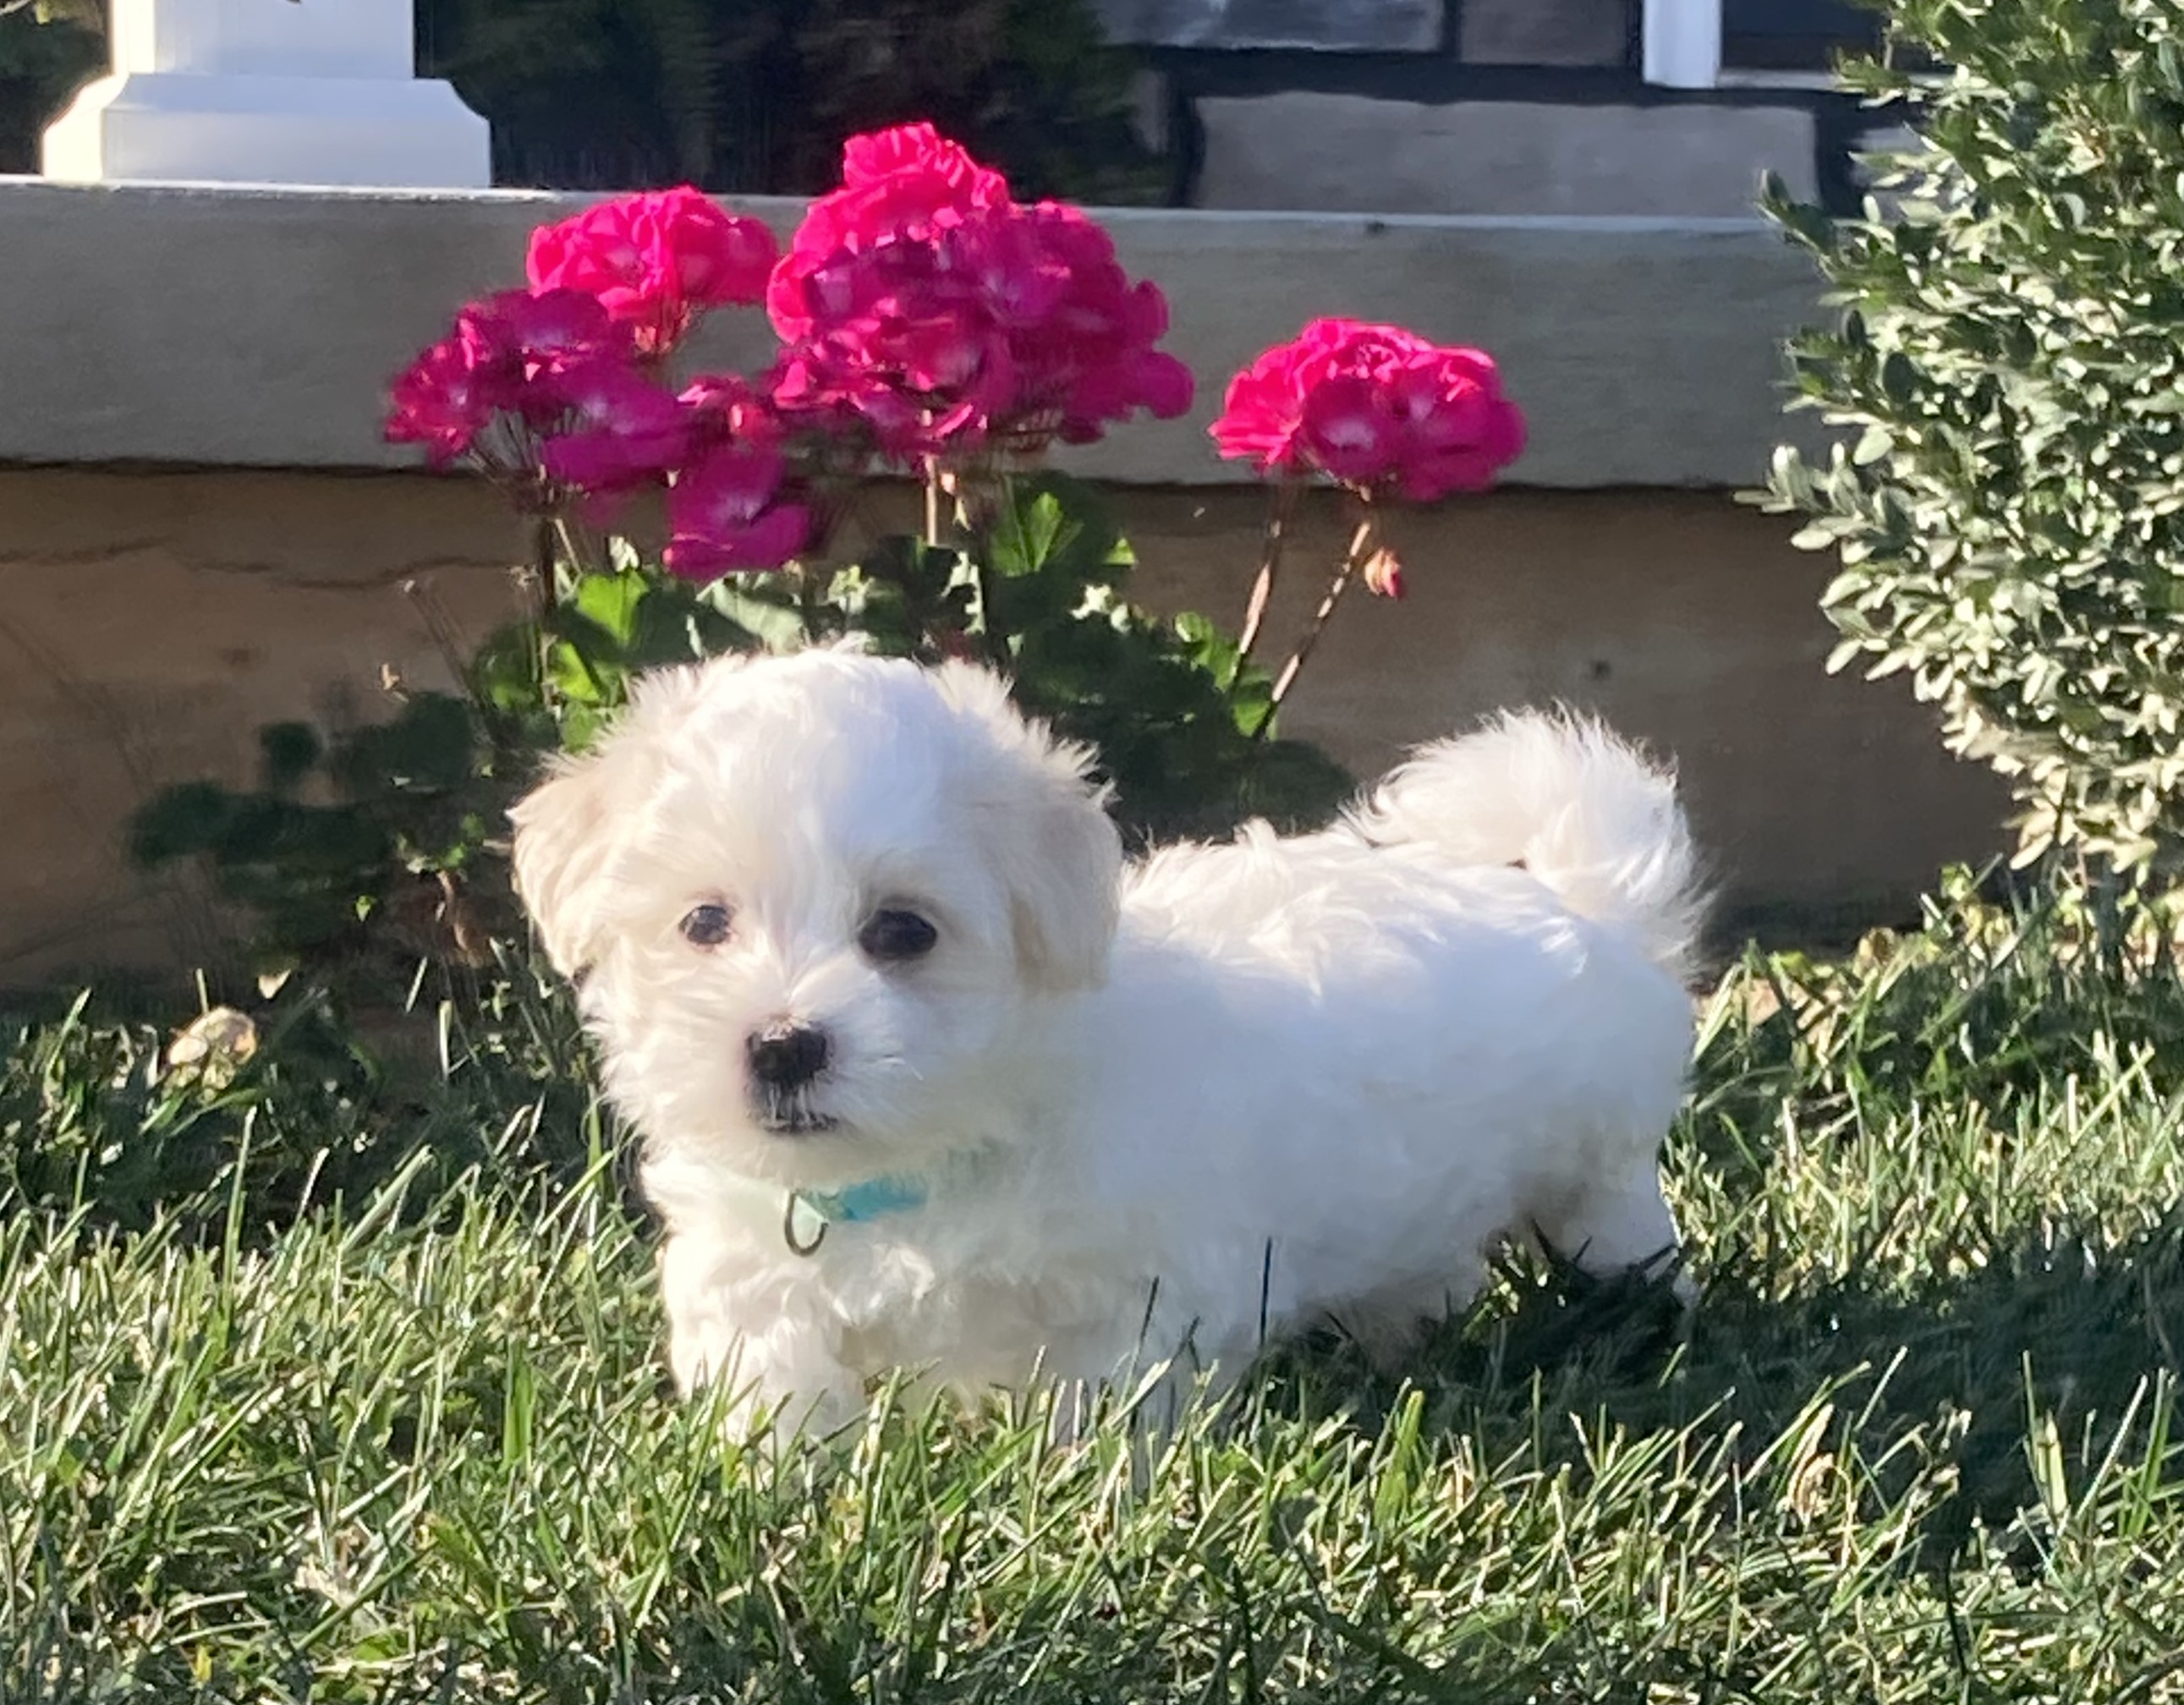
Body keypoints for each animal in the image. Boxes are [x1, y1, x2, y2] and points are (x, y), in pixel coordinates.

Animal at [511, 646, 1703, 1432]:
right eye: (702, 923)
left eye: (902, 931)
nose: (782, 1044)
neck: (915, 1168)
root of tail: (1584, 906)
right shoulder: (745, 1261)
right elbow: (772, 1376)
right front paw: (789, 1489)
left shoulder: (1140, 1296)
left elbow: (1099, 1417)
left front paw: (1064, 1503)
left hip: (1597, 1169)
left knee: (1614, 1237)